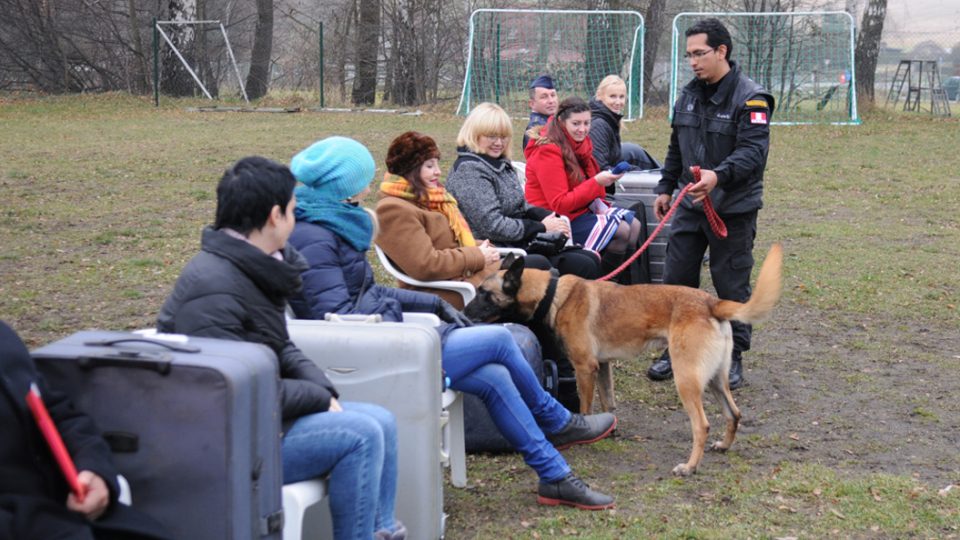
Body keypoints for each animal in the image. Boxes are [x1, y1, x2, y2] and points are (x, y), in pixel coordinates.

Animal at [466, 245, 788, 476]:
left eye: (484, 294)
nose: (464, 313)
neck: (553, 292)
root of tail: (711, 302)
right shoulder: (602, 366)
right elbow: (609, 403)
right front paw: (610, 429)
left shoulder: (585, 368)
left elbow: (585, 407)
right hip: (714, 380)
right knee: (734, 414)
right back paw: (723, 445)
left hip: (686, 380)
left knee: (702, 425)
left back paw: (690, 467)